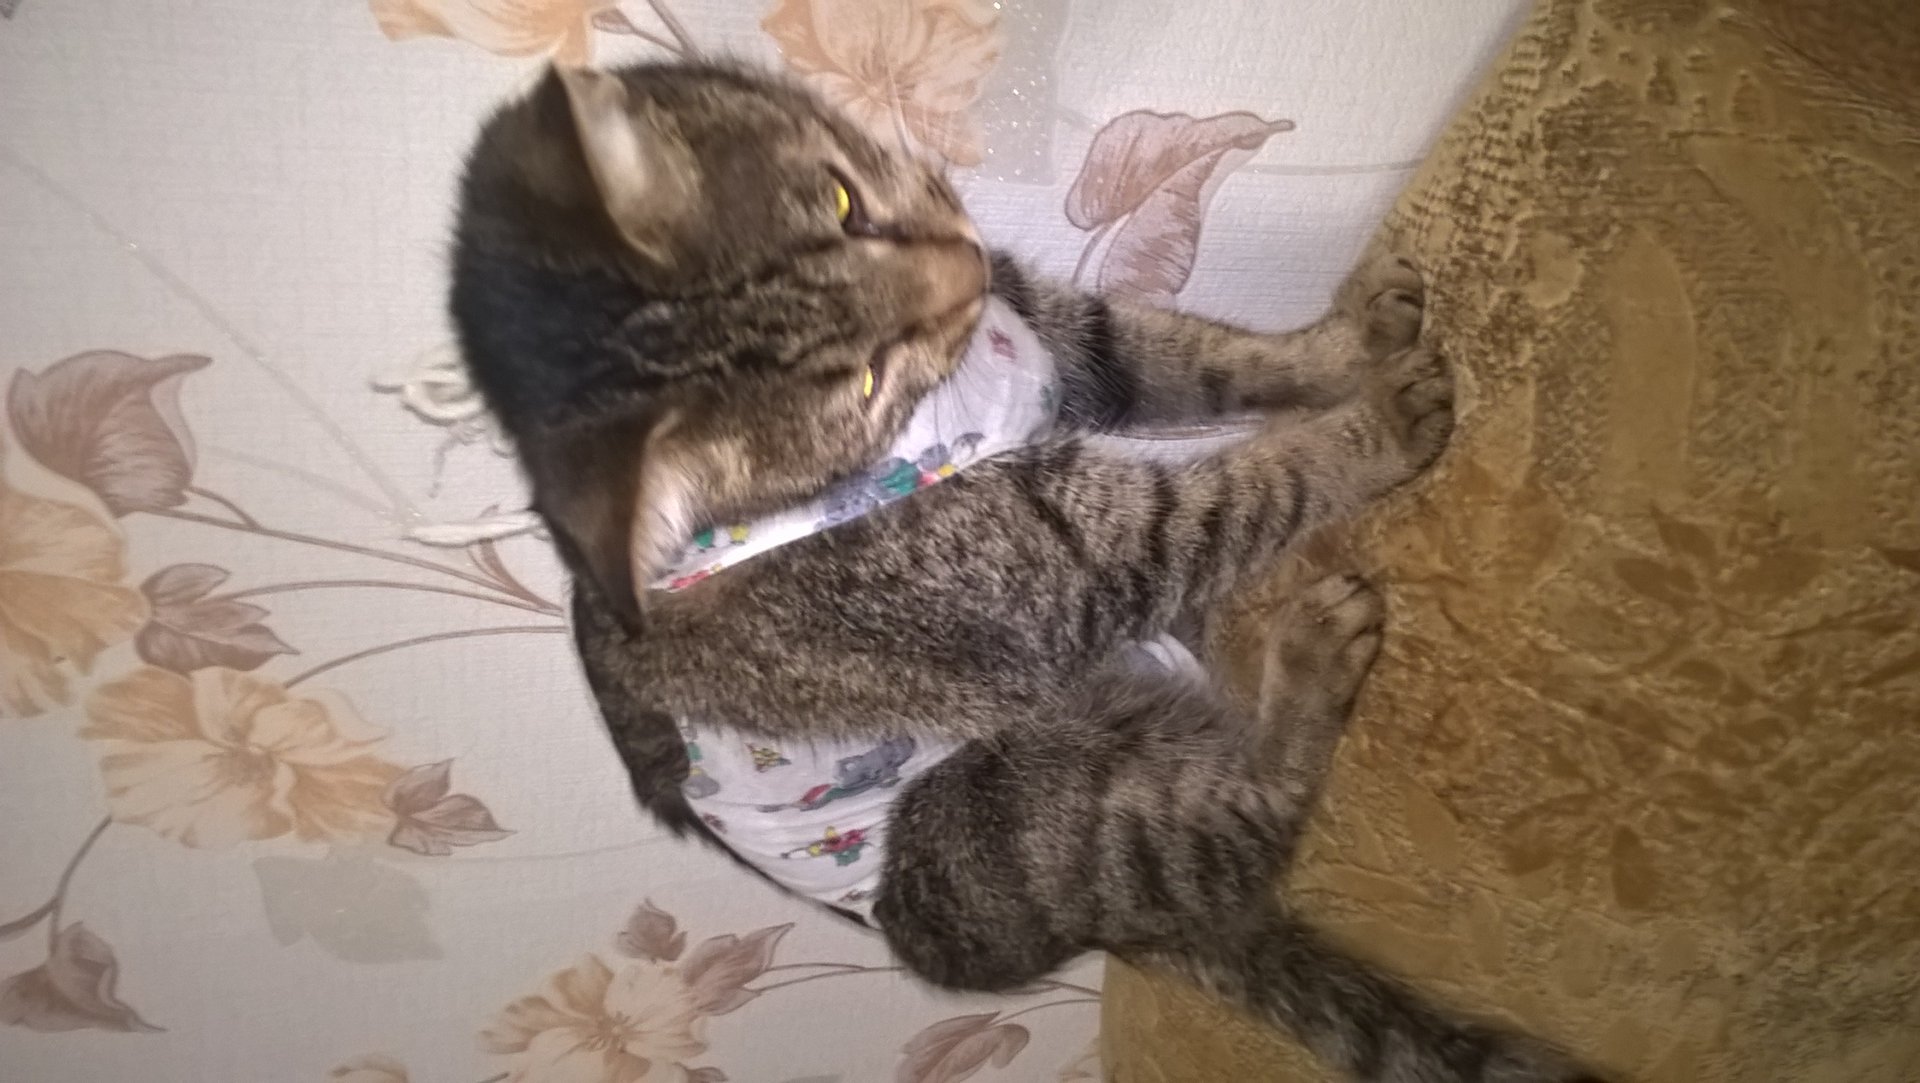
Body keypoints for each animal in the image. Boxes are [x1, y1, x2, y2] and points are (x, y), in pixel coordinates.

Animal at [448, 60, 1602, 1083]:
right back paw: (1311, 658)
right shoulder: (1090, 558)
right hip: (1016, 803)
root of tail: (1126, 933)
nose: (962, 262)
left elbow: (1209, 356)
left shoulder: (1065, 334)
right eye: (861, 381)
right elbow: (1247, 487)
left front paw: (1345, 337)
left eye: (843, 199)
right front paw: (1371, 424)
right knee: (1253, 820)